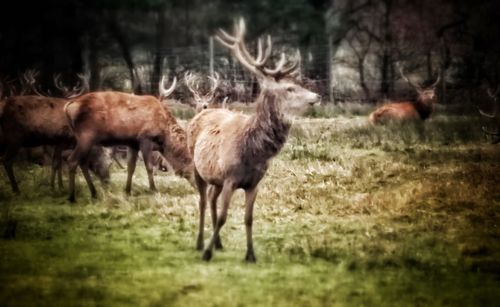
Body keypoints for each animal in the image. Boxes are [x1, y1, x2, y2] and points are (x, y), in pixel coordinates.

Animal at [64, 76, 193, 203]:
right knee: (72, 160)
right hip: (86, 135)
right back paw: (72, 197)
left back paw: (94, 193)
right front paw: (154, 190)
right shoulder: (145, 138)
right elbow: (149, 167)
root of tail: (68, 107)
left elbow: (131, 167)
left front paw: (127, 191)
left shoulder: (133, 143)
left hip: (84, 139)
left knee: (83, 162)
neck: (164, 136)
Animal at [188, 18, 320, 262]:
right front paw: (207, 253)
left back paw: (218, 243)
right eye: (289, 88)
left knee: (210, 197)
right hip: (196, 166)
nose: (317, 96)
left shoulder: (254, 183)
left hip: (215, 178)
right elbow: (224, 217)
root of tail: (202, 112)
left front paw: (250, 254)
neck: (252, 153)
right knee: (201, 201)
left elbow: (249, 218)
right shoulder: (230, 178)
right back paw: (201, 243)